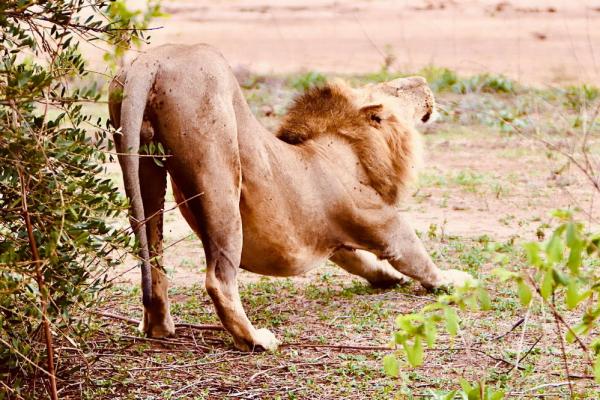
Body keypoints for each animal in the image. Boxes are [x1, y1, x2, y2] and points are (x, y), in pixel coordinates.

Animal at [109, 42, 474, 352]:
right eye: (397, 88)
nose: (423, 80)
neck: (350, 148)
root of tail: (153, 59)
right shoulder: (383, 223)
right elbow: (417, 256)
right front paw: (451, 280)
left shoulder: (334, 236)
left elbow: (359, 260)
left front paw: (389, 277)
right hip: (218, 168)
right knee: (218, 278)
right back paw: (255, 340)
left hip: (140, 163)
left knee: (152, 255)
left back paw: (160, 327)